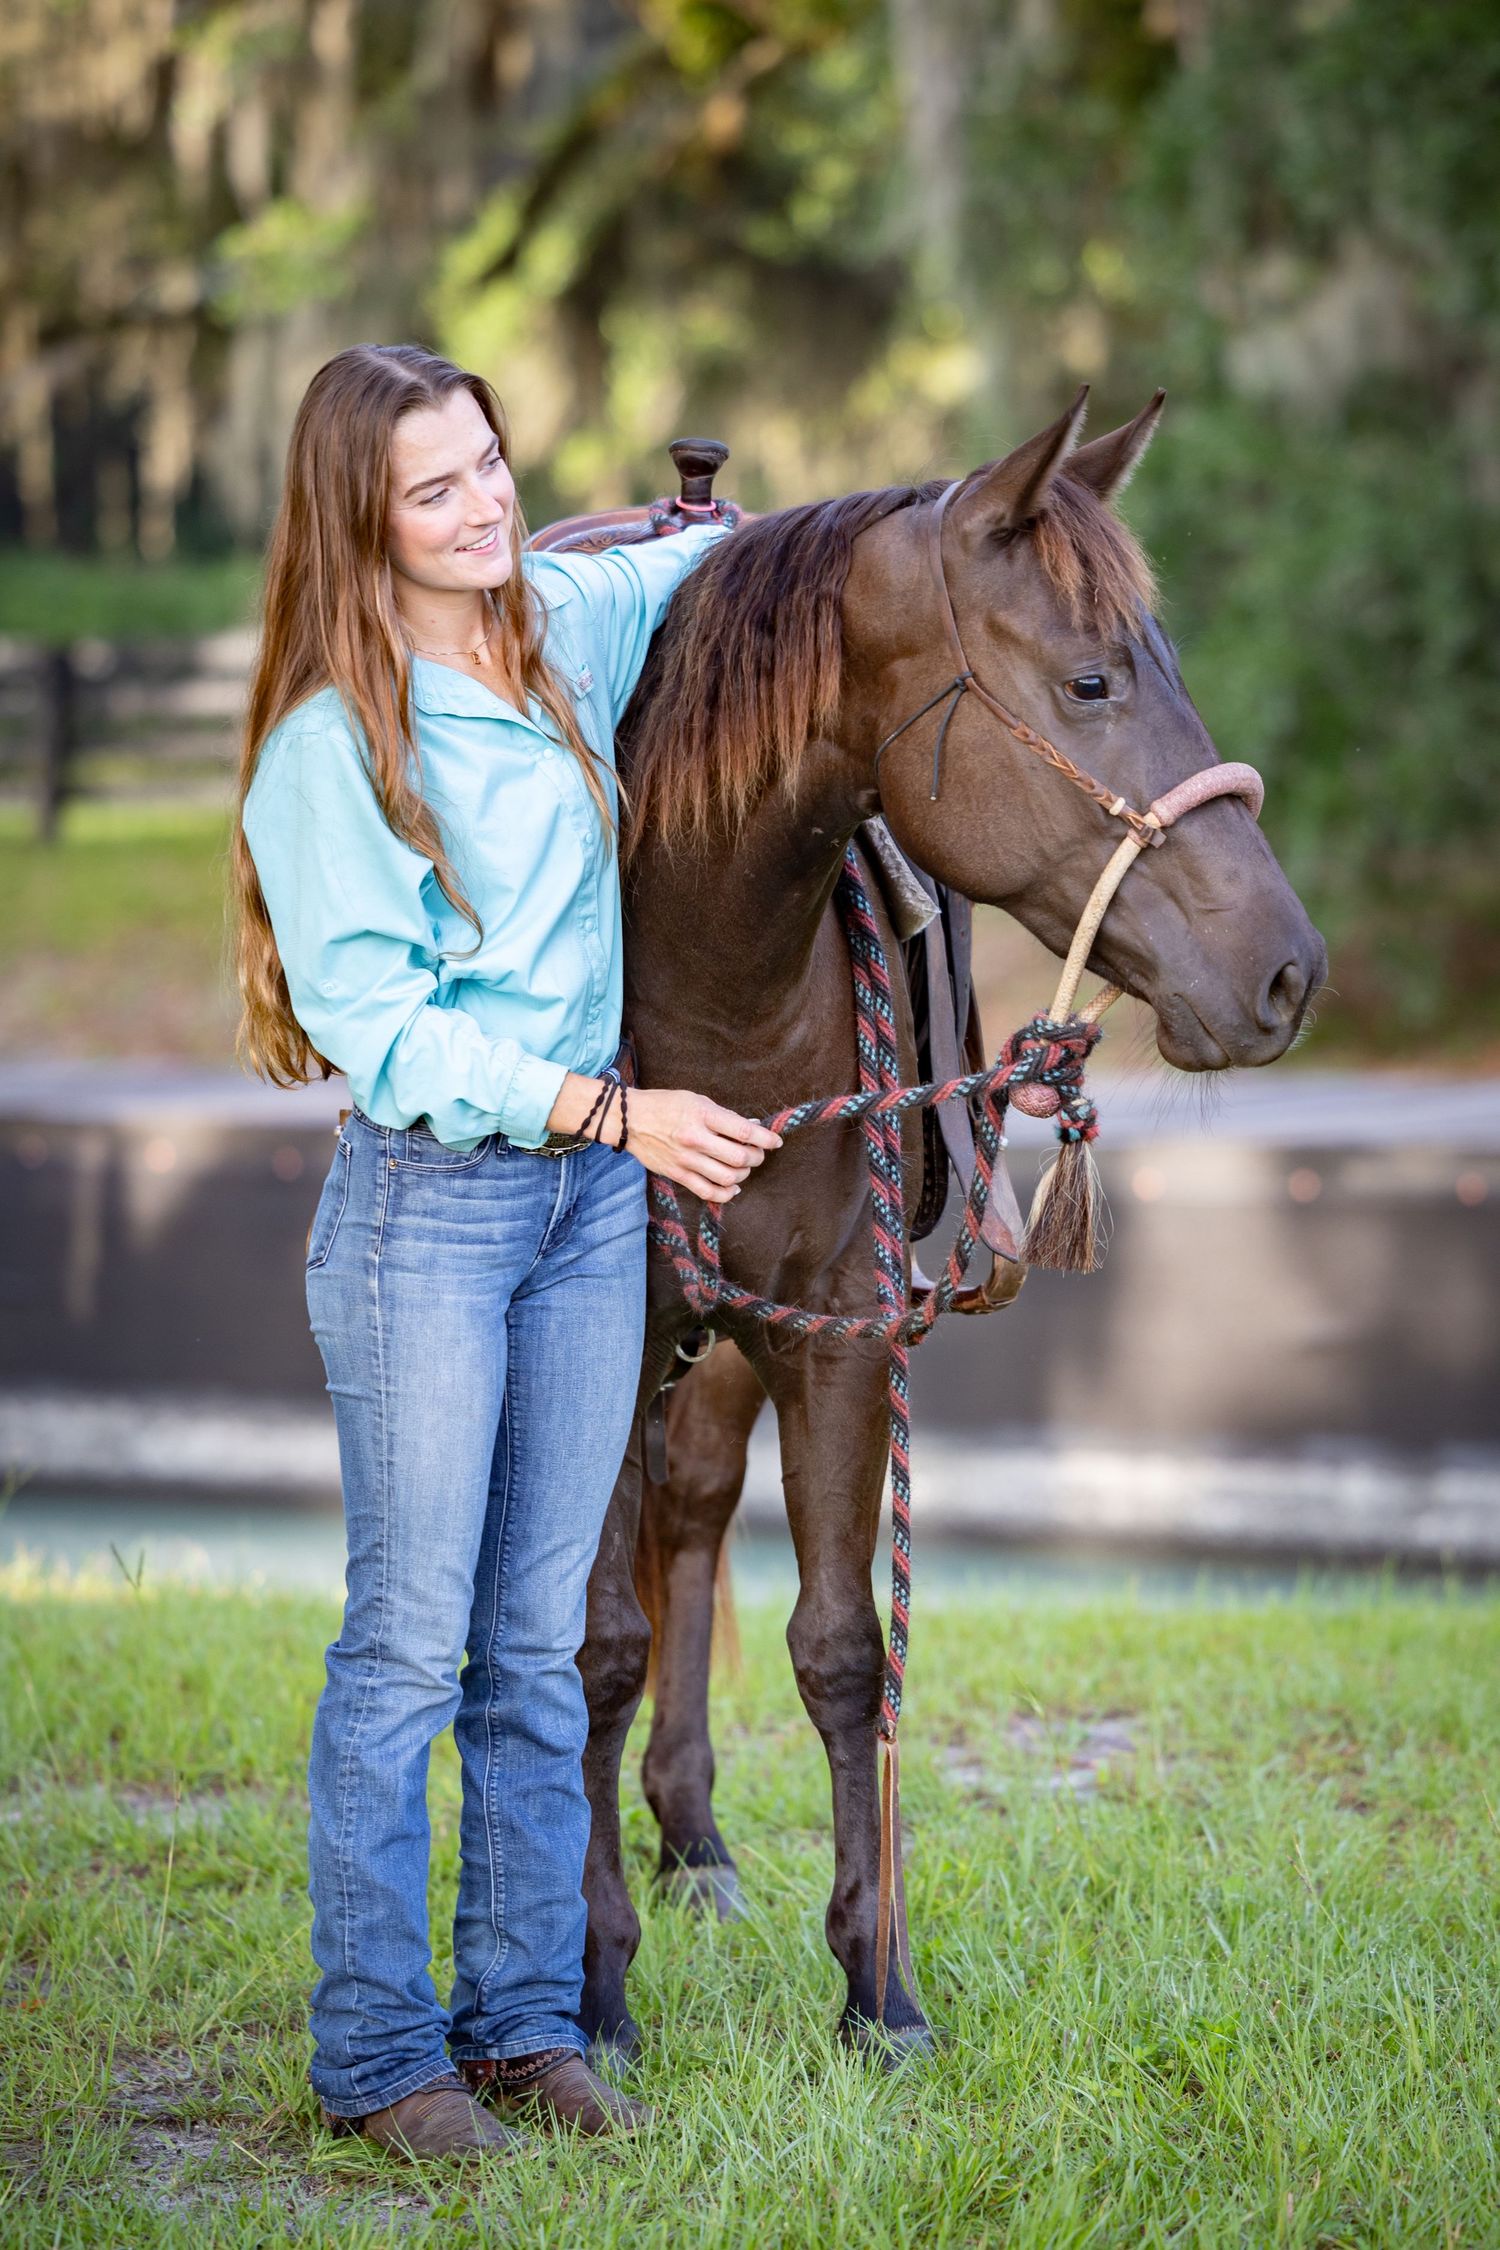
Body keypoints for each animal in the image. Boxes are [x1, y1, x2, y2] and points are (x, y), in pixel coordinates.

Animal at [572, 389, 1327, 2063]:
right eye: (1093, 678)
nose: (1289, 971)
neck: (707, 985)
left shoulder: (838, 1333)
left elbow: (843, 1650)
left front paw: (878, 1987)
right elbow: (586, 1649)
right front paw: (585, 1984)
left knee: (694, 1517)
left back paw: (694, 1838)